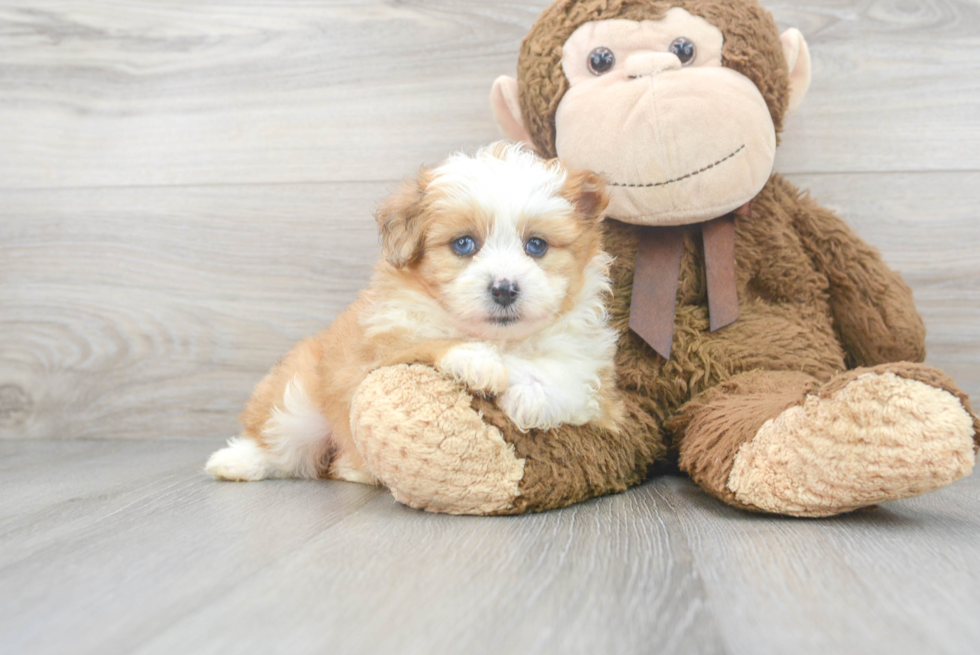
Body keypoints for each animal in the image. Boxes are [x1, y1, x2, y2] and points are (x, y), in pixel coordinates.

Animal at [206, 141, 620, 484]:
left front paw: (530, 397)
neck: (500, 340)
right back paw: (237, 461)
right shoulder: (375, 351)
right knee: (281, 445)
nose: (504, 288)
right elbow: (428, 343)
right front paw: (479, 362)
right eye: (464, 244)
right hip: (300, 402)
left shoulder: (597, 385)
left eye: (536, 245)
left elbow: (570, 382)